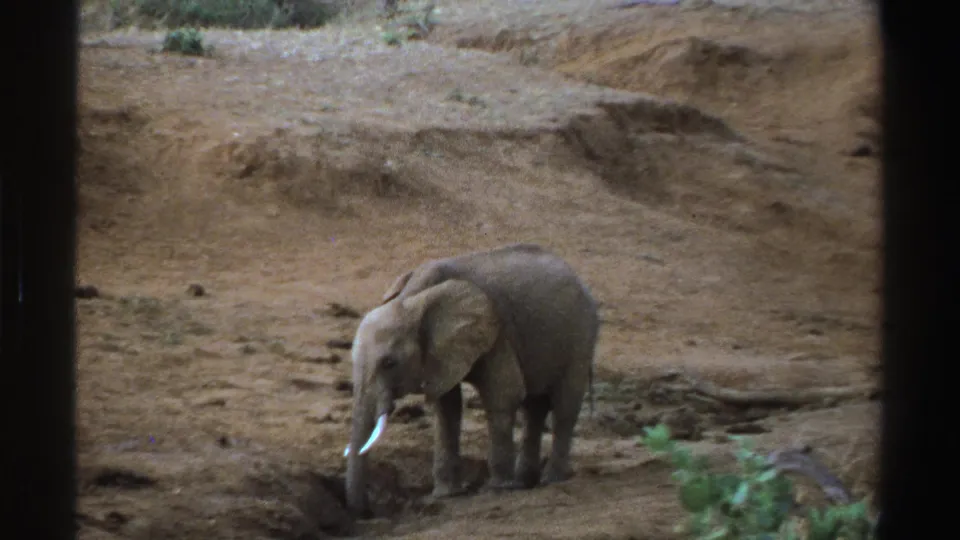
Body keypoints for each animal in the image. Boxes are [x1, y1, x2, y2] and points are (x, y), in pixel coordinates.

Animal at [342, 243, 600, 515]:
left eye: (389, 363)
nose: (365, 511)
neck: (412, 299)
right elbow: (447, 406)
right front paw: (446, 495)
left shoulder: (496, 333)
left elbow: (503, 394)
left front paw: (497, 489)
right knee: (535, 407)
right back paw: (524, 482)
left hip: (581, 336)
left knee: (564, 407)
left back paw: (550, 480)